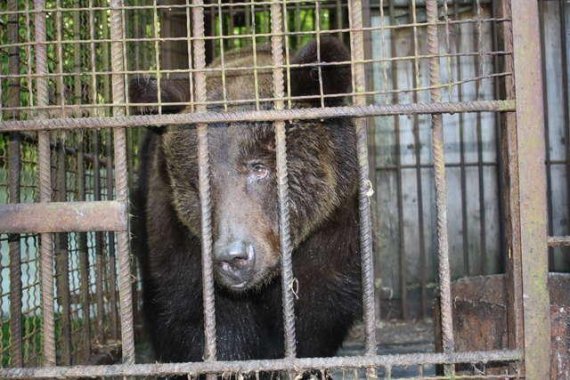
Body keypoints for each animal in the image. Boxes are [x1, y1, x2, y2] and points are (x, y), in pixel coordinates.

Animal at [129, 37, 360, 372]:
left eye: (258, 167)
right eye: (198, 179)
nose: (233, 256)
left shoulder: (330, 239)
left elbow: (314, 324)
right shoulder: (182, 249)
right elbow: (205, 327)